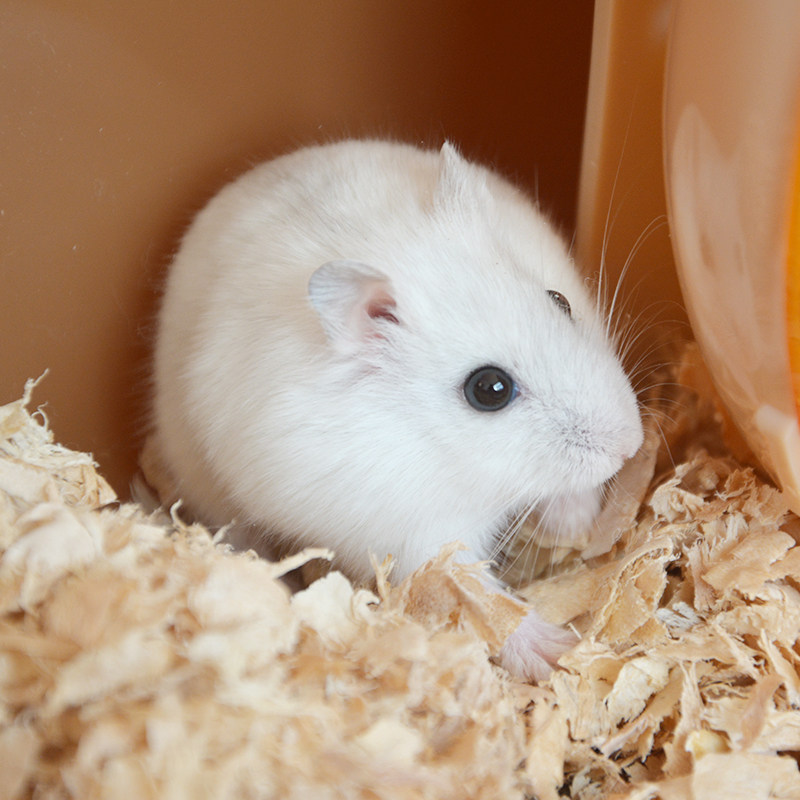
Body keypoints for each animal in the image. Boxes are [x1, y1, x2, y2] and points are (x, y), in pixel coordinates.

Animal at [152, 140, 644, 681]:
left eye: (560, 300)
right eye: (489, 389)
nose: (631, 446)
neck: (449, 458)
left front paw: (581, 525)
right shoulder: (414, 532)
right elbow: (478, 597)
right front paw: (559, 653)